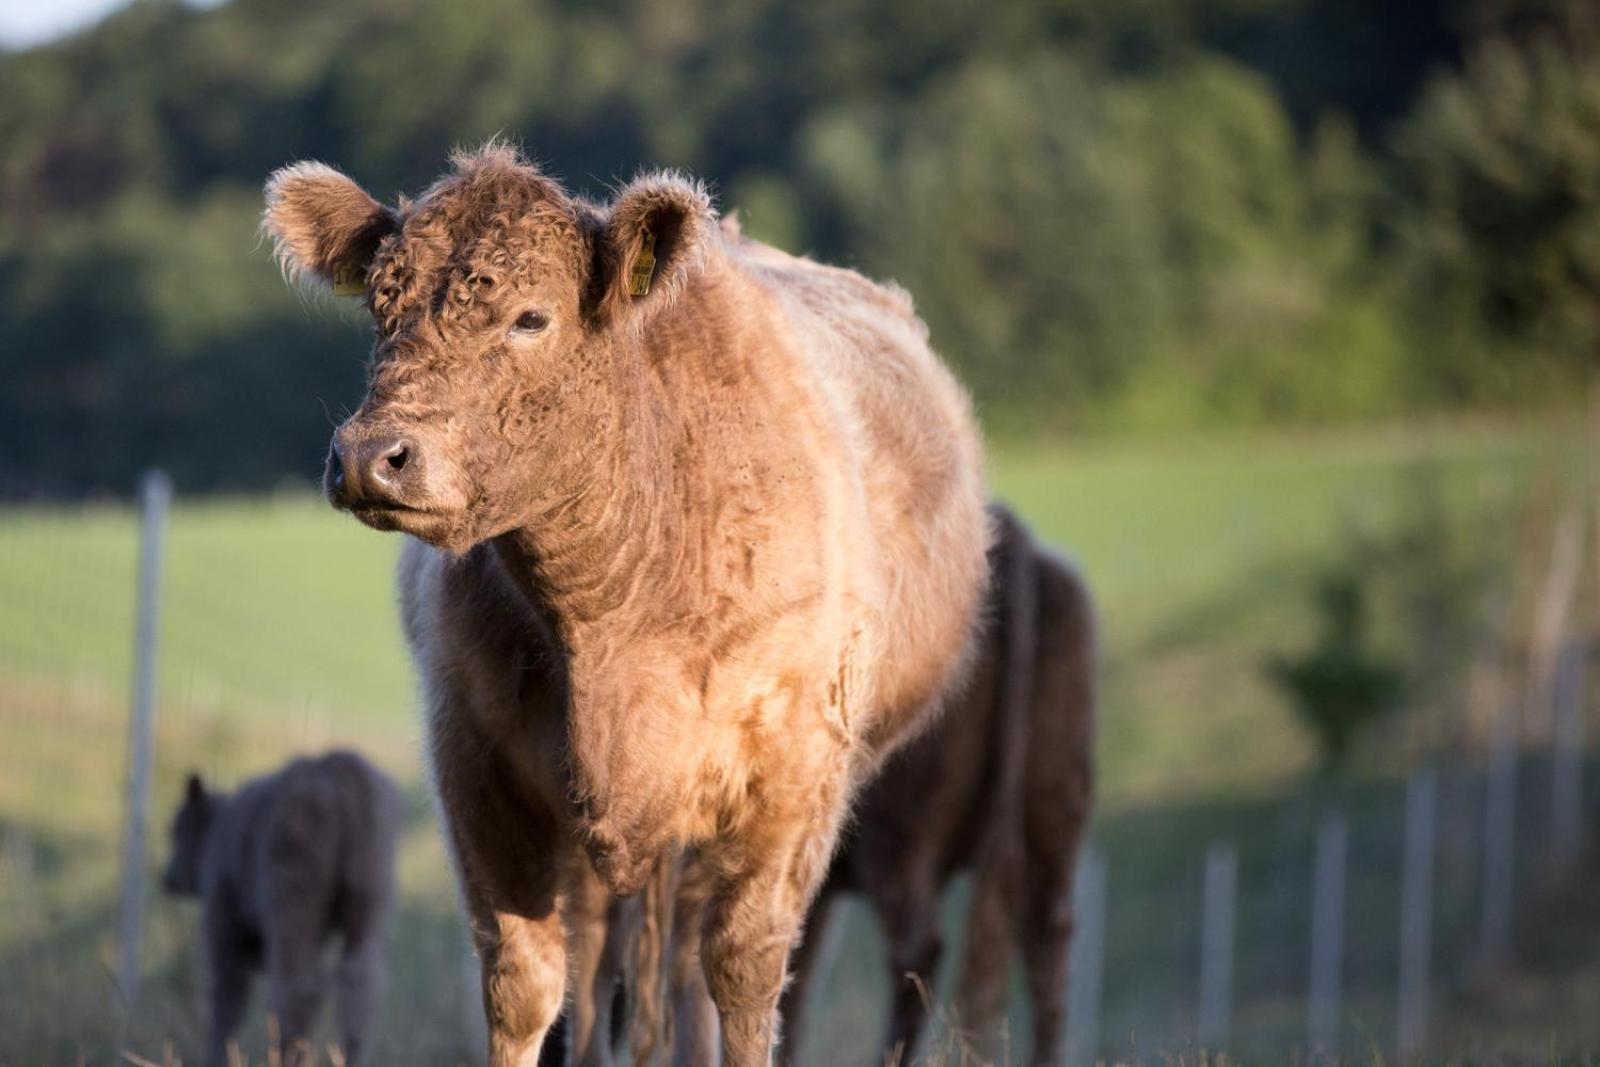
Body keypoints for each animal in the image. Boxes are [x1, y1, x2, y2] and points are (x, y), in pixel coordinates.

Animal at [163, 751, 403, 1067]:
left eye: (177, 832)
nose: (167, 877)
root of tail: (337, 765)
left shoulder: (221, 923)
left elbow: (226, 997)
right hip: (369, 908)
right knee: (360, 985)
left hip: (292, 908)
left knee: (297, 988)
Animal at [262, 143, 985, 1067]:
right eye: (380, 309)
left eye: (531, 318)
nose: (370, 455)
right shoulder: (477, 766)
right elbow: (524, 981)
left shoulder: (791, 779)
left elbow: (745, 976)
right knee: (602, 959)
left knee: (685, 972)